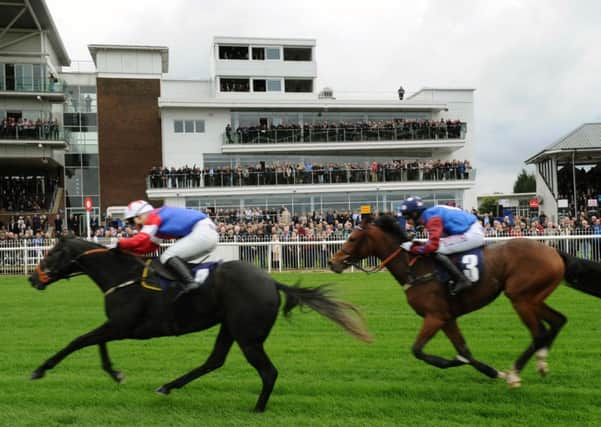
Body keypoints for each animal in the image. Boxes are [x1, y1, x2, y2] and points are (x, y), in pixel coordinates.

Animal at [31, 236, 370, 412]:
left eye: (53, 252)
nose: (33, 278)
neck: (122, 276)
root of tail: (272, 281)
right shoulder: (118, 326)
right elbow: (95, 341)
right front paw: (115, 373)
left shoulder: (124, 326)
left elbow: (78, 340)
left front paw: (41, 369)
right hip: (229, 327)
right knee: (215, 360)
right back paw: (168, 386)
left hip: (248, 336)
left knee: (268, 372)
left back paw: (257, 409)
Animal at [328, 217, 600, 388]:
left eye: (352, 238)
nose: (333, 262)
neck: (415, 268)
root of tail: (554, 251)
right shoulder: (447, 318)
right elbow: (464, 351)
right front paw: (491, 371)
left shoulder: (435, 316)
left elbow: (419, 351)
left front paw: (459, 363)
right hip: (533, 297)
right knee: (558, 321)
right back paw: (541, 363)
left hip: (521, 298)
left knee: (539, 332)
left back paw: (515, 374)